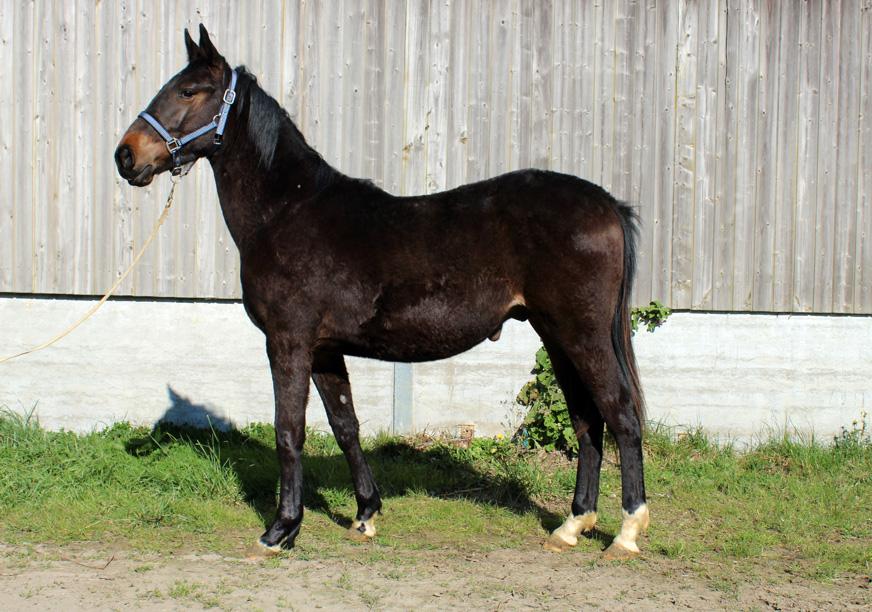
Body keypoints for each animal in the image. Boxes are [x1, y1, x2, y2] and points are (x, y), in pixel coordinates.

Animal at [115, 25, 649, 560]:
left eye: (189, 91)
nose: (126, 155)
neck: (287, 210)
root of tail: (608, 204)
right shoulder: (325, 350)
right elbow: (345, 426)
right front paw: (365, 514)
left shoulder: (288, 342)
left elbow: (290, 431)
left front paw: (281, 529)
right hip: (556, 335)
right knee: (587, 419)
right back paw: (572, 525)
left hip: (582, 335)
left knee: (620, 413)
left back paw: (626, 531)